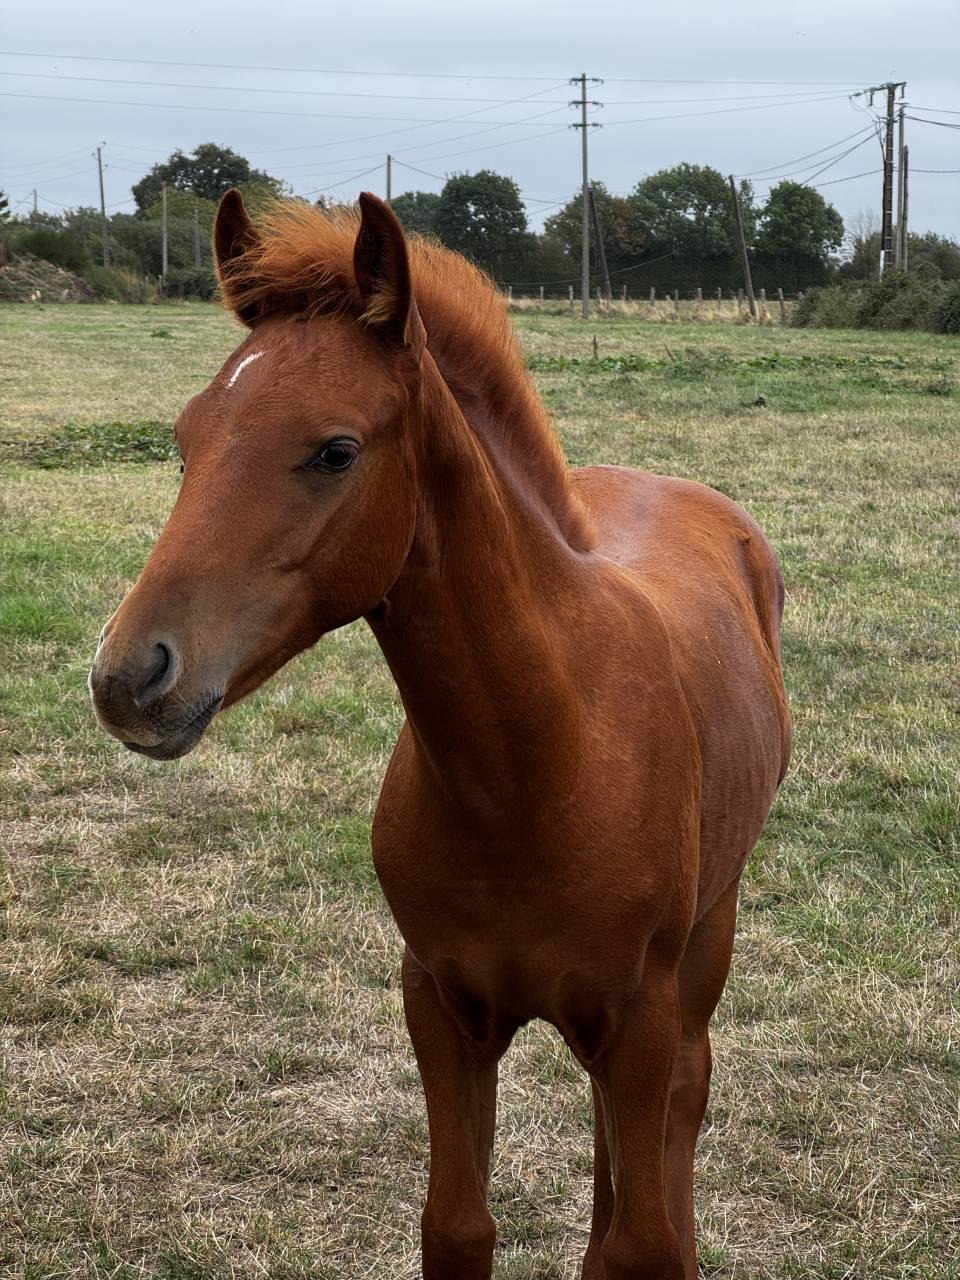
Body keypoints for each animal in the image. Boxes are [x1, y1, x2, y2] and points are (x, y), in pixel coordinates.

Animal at [89, 189, 791, 1280]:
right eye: (188, 436)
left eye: (334, 449)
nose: (129, 676)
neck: (533, 764)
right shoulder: (441, 1005)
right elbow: (459, 1227)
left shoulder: (639, 1019)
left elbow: (642, 1241)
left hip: (707, 939)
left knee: (686, 1096)